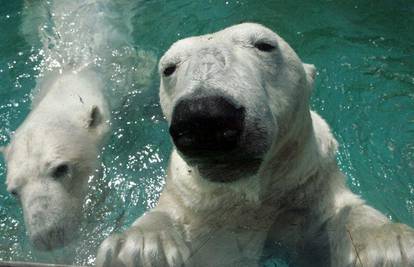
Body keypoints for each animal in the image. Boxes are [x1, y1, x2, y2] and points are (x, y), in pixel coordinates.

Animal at [96, 23, 414, 267]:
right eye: (169, 68)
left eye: (265, 45)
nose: (204, 115)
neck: (253, 196)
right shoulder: (196, 202)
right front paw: (141, 248)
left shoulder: (307, 184)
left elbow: (340, 215)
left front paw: (389, 245)